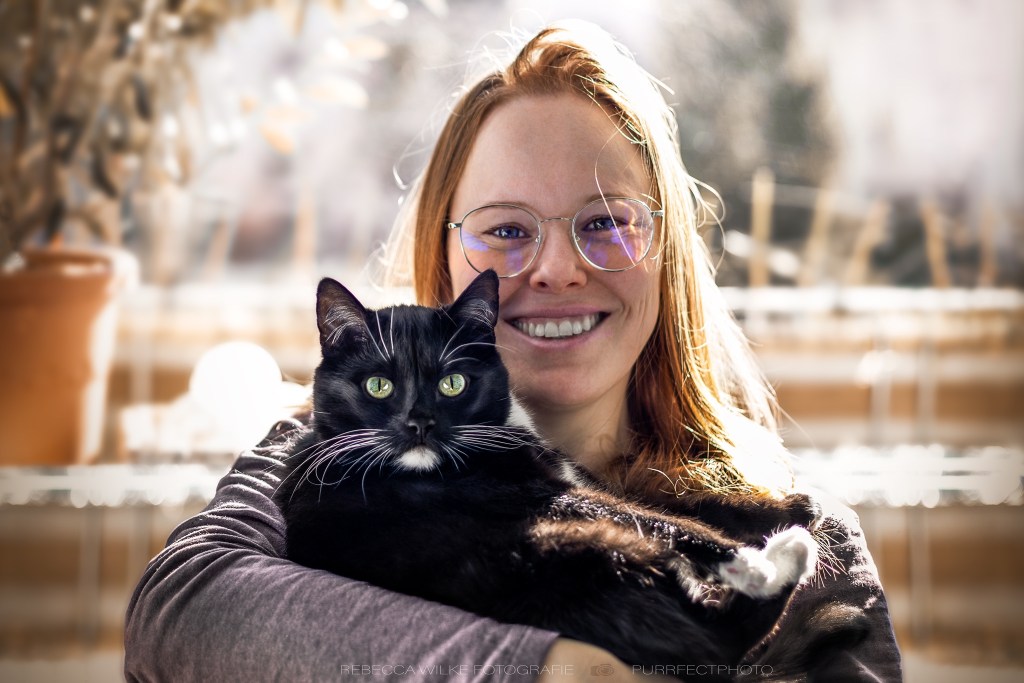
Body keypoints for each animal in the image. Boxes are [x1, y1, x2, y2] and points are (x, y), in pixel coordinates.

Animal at [273, 270, 822, 677]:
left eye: (453, 383)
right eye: (379, 386)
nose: (419, 422)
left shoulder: (581, 478)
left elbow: (665, 500)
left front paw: (790, 506)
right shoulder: (537, 494)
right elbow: (663, 519)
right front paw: (746, 554)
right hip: (573, 550)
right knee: (717, 630)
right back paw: (784, 557)